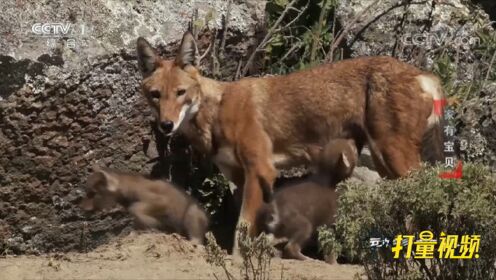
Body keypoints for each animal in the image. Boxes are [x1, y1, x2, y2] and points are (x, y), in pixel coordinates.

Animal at [80, 167, 208, 244]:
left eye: (93, 193)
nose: (83, 208)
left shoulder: (161, 201)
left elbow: (135, 209)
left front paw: (153, 224)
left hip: (192, 214)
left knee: (198, 240)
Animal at [135, 31, 442, 236]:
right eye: (155, 95)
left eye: (180, 93)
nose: (166, 125)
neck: (218, 110)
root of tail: (425, 75)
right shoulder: (239, 177)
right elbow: (248, 227)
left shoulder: (261, 170)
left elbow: (241, 231)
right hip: (384, 163)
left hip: (393, 159)